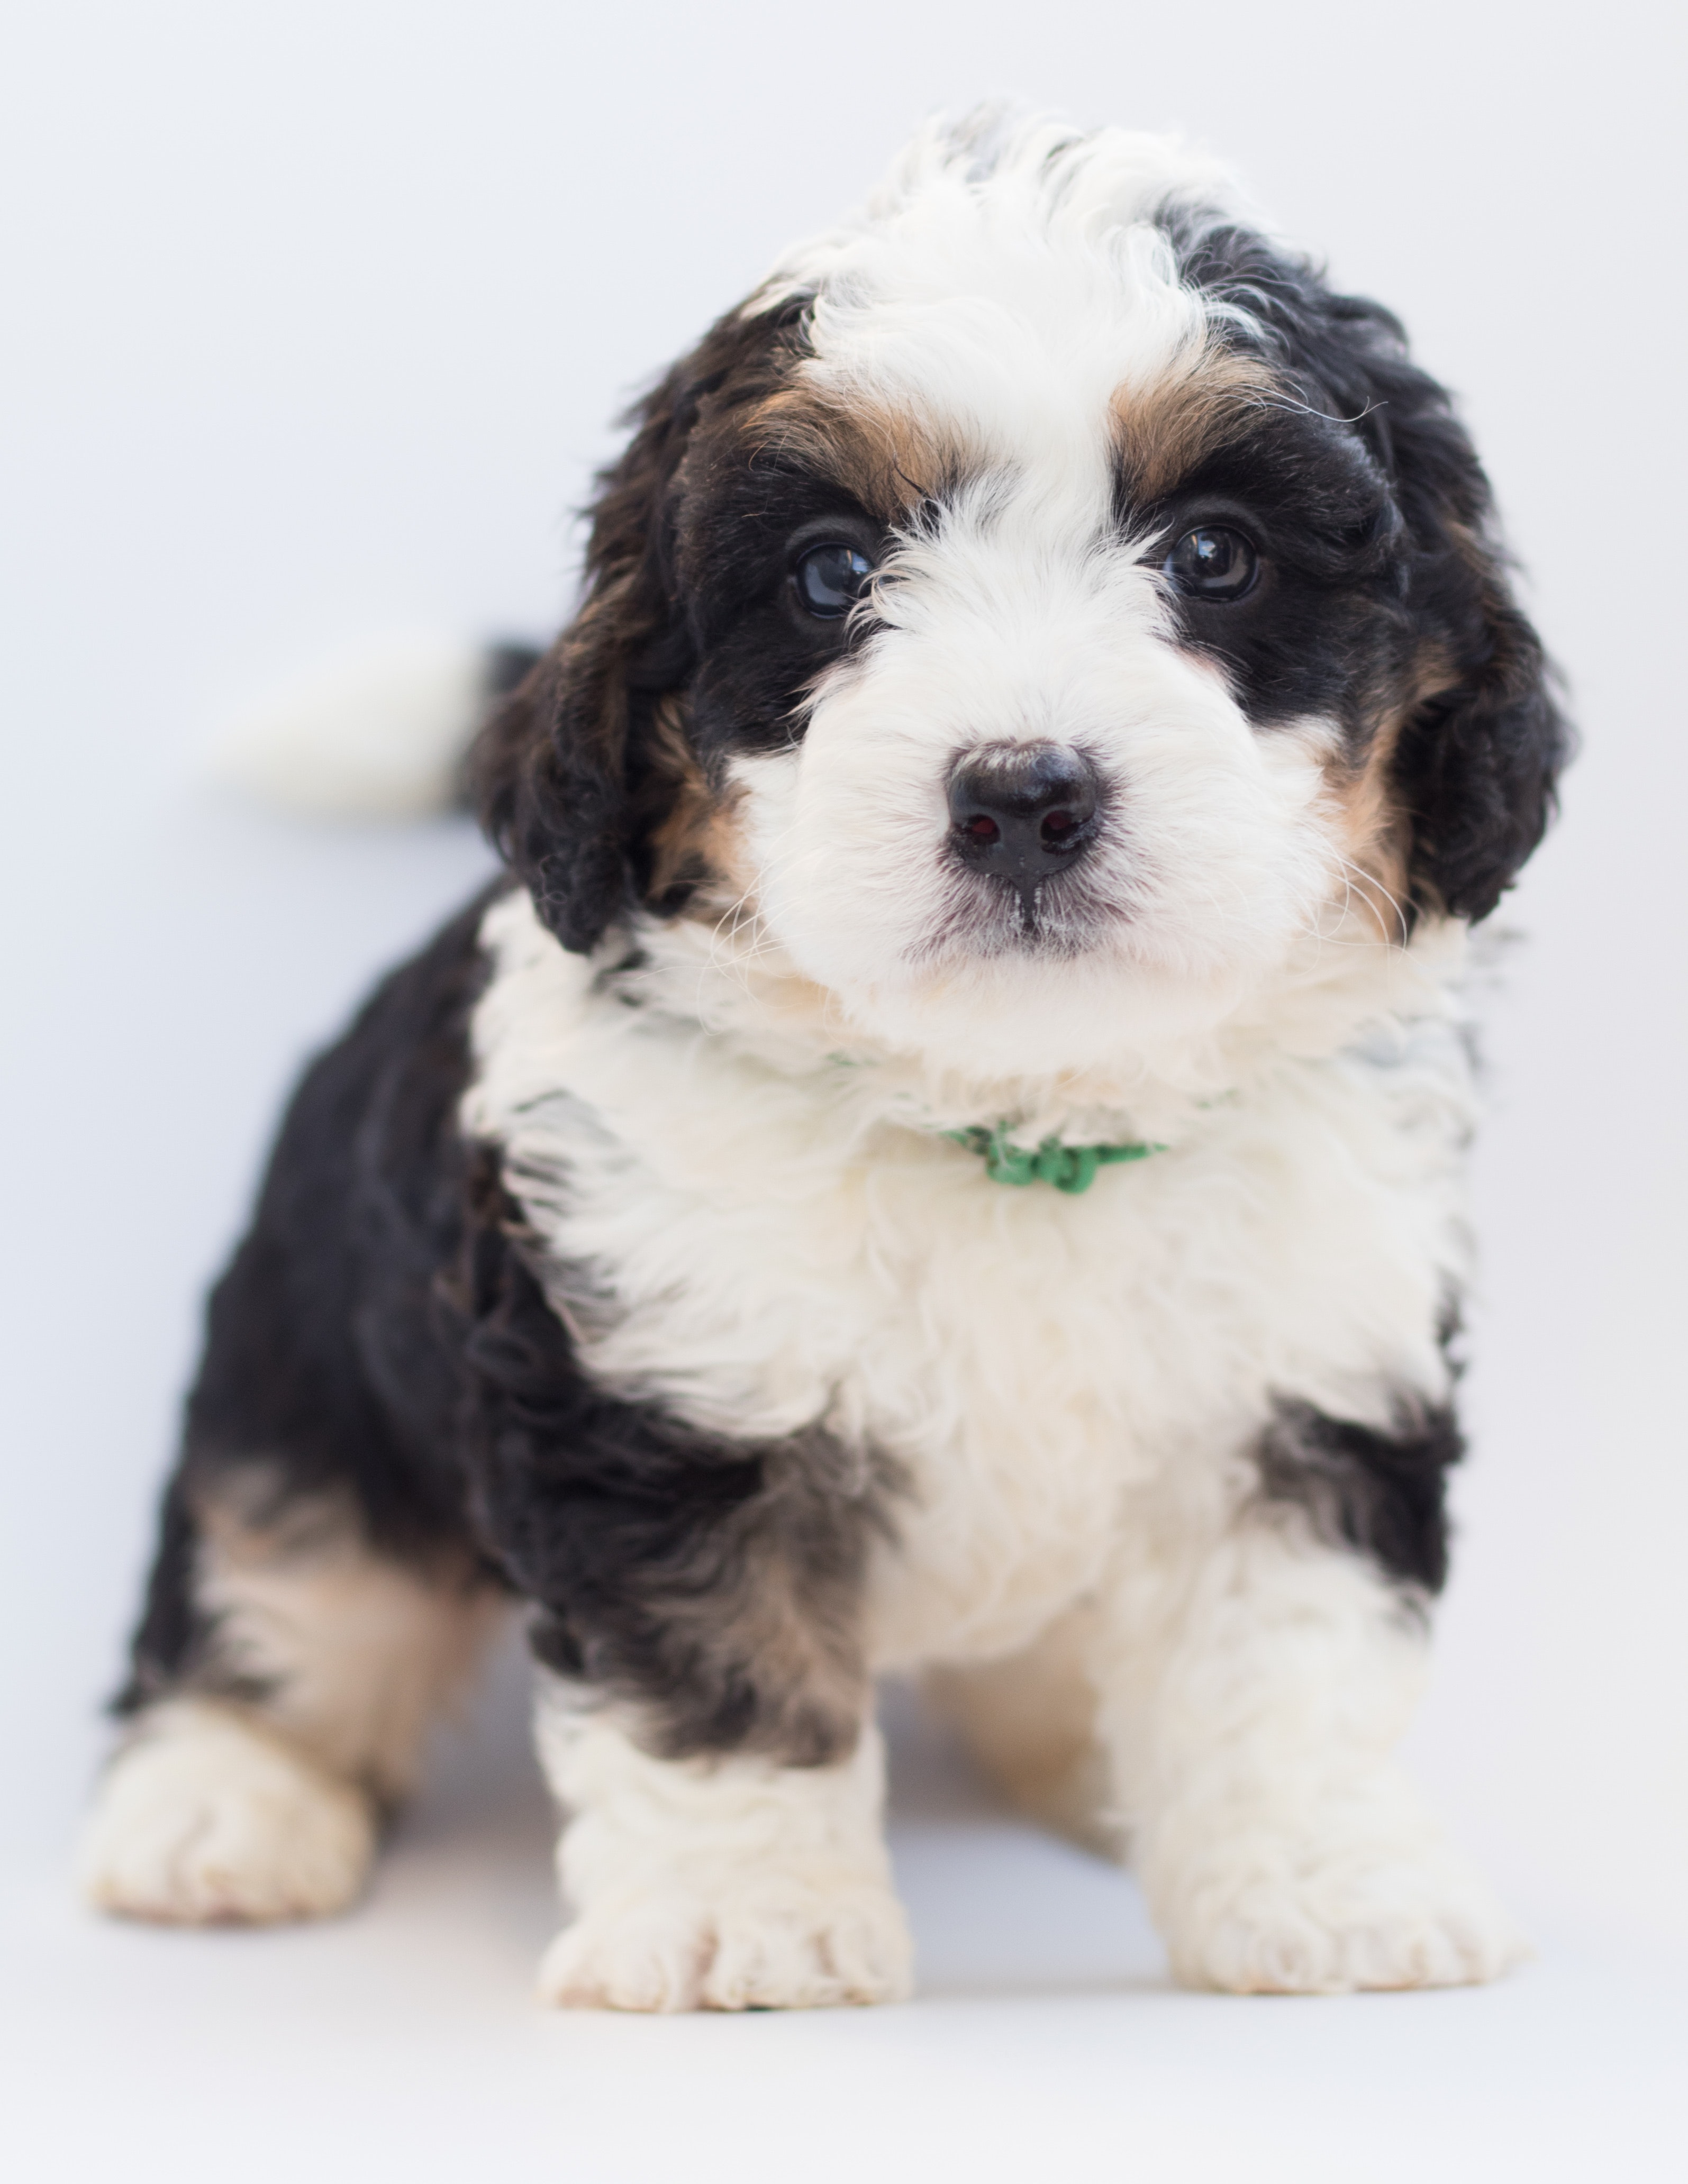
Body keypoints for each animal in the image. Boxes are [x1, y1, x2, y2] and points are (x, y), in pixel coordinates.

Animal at [79, 111, 1563, 2000]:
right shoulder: (654, 1386)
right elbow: (717, 1666)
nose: (1021, 795)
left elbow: (1288, 1657)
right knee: (282, 1580)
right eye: (835, 574)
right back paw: (220, 1804)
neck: (1013, 1117)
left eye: (1216, 555)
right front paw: (745, 1920)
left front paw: (1323, 1886)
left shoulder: (1307, 1381)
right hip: (313, 1368)